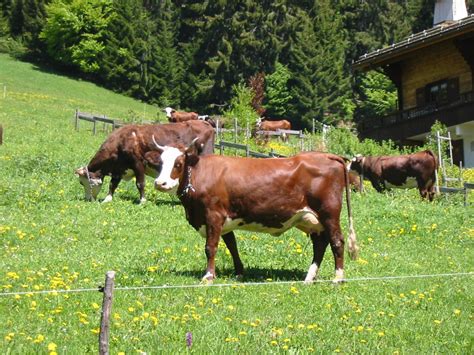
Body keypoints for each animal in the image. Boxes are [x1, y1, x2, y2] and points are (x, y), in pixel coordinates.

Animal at [74, 120, 215, 203]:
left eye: (82, 182)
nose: (88, 199)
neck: (122, 140)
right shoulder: (119, 168)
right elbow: (113, 184)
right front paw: (107, 199)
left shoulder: (138, 163)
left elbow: (140, 183)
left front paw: (142, 201)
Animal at [153, 140, 360, 286]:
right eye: (160, 163)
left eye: (178, 163)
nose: (160, 183)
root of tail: (327, 155)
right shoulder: (225, 220)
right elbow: (232, 245)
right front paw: (239, 272)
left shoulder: (213, 216)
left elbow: (210, 248)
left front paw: (208, 276)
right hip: (311, 219)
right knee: (320, 244)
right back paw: (310, 277)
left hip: (329, 213)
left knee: (337, 241)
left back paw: (338, 277)